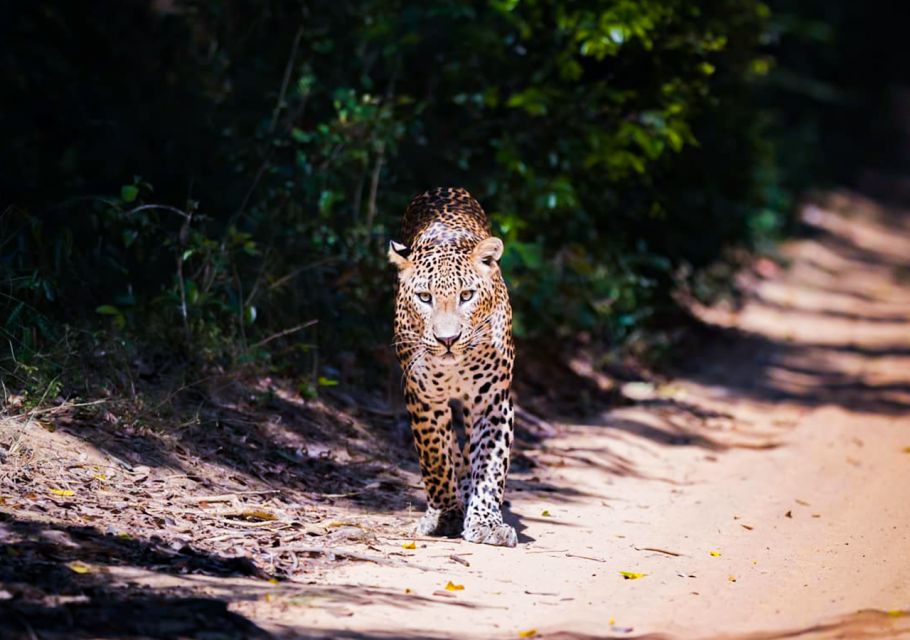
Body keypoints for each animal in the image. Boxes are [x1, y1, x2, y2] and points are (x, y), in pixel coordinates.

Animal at [388, 188, 520, 548]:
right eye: (424, 297)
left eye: (467, 295)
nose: (447, 339)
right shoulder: (423, 397)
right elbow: (435, 456)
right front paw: (445, 515)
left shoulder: (492, 400)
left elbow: (490, 464)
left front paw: (486, 522)